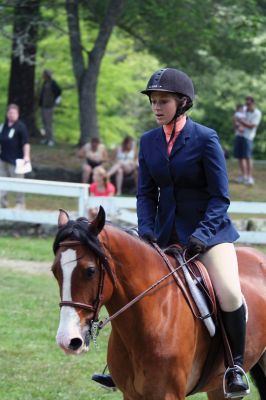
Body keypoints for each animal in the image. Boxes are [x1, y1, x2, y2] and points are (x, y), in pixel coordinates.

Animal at [52, 208, 266, 398]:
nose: (67, 340)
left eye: (90, 271)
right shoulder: (131, 394)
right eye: (54, 271)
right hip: (217, 387)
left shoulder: (168, 394)